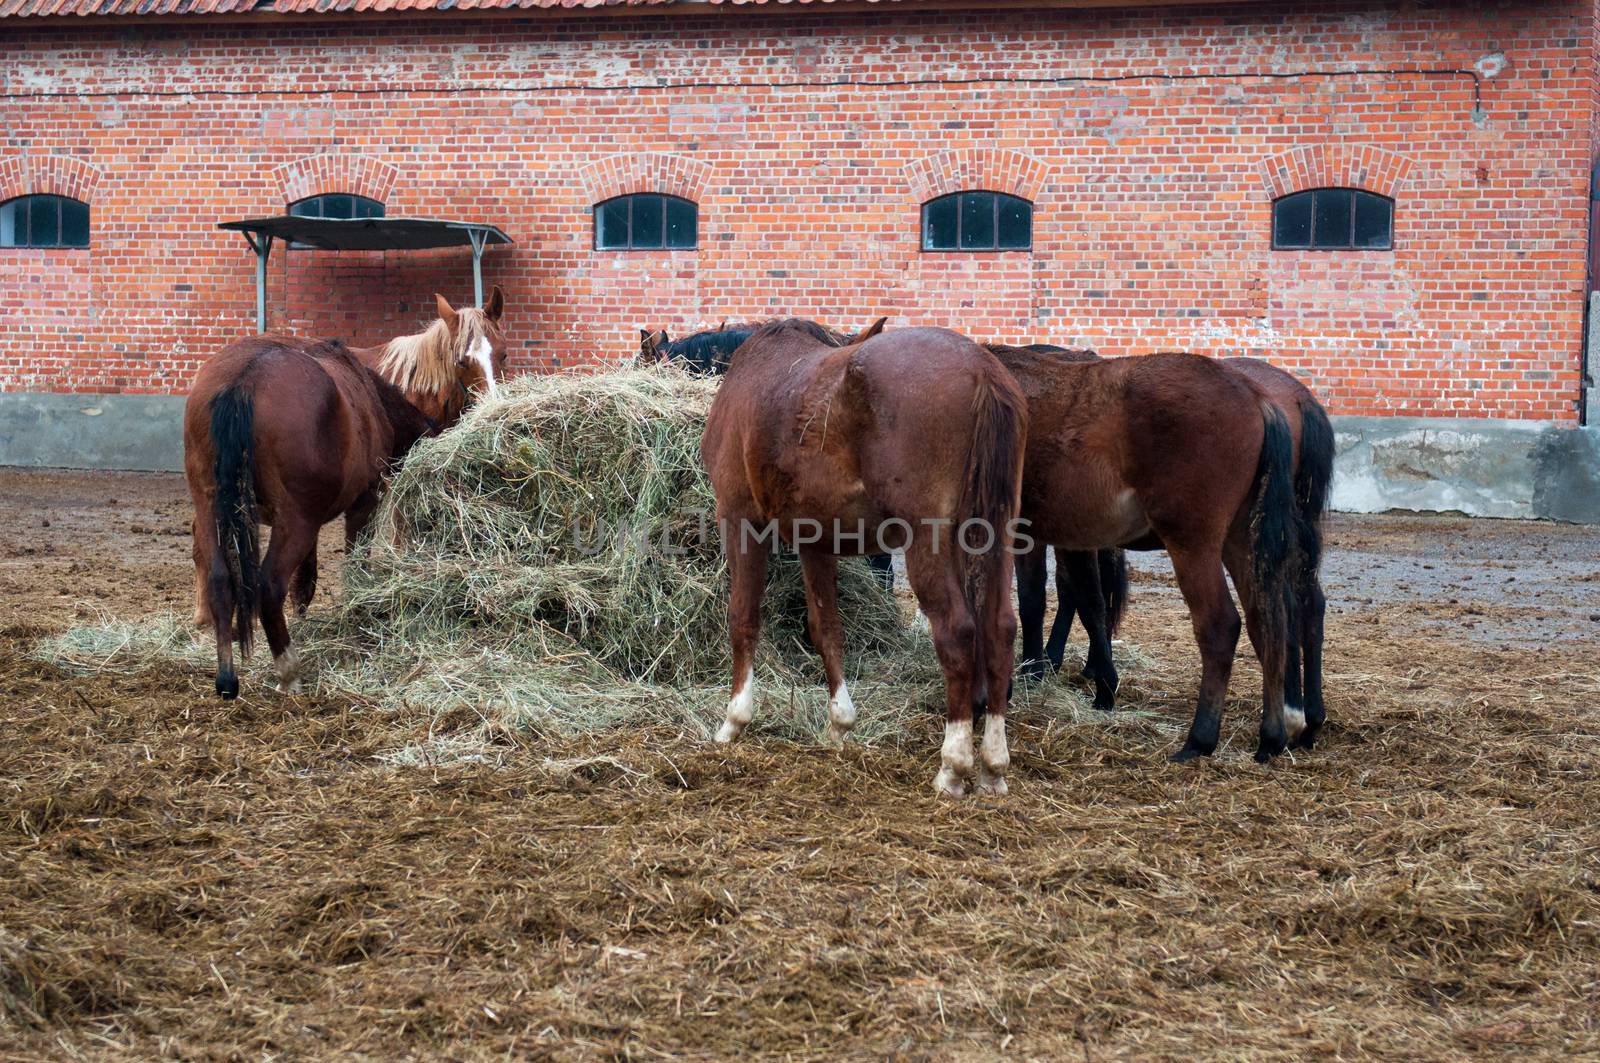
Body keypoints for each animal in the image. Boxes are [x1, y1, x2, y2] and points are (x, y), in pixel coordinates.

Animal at [700, 320, 1024, 794]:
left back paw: (953, 765)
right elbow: (826, 630)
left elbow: (743, 619)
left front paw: (733, 721)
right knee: (1000, 630)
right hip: (996, 539)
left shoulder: (740, 521)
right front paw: (839, 725)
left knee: (957, 632)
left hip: (929, 543)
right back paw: (993, 766)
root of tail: (982, 368)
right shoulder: (815, 543)